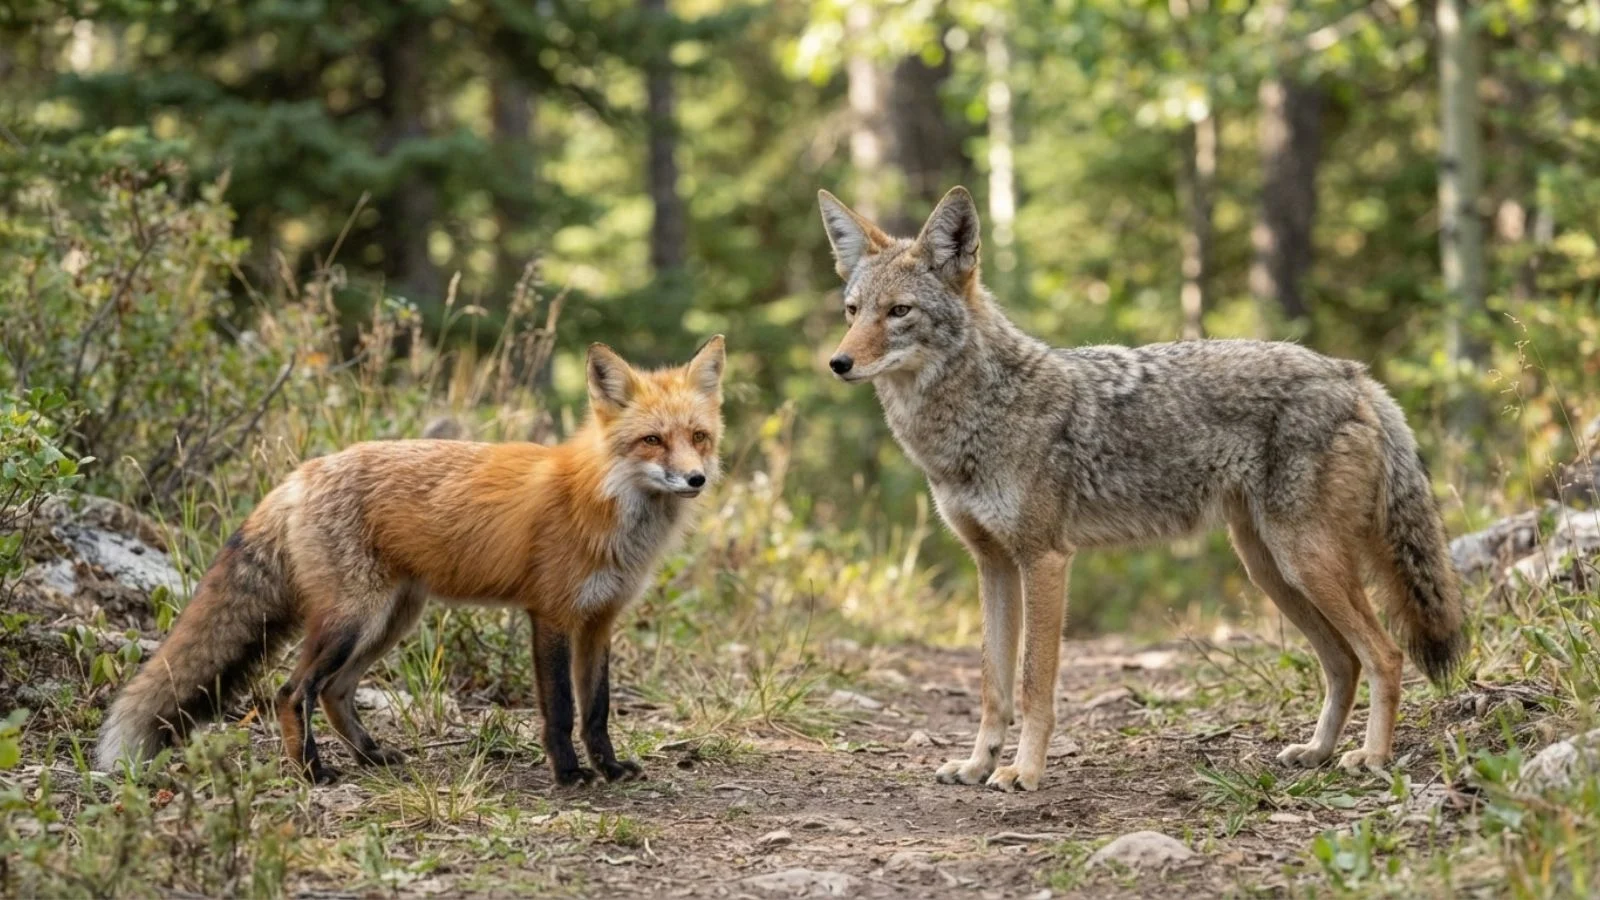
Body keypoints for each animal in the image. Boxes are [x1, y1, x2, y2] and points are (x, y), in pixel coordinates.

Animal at [97, 337, 727, 785]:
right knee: (292, 691)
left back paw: (372, 757)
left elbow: (597, 709)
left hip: (391, 620)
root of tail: (302, 473)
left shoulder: (598, 621)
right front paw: (570, 775)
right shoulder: (549, 615)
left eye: (699, 437)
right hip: (353, 619)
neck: (605, 504)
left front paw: (610, 768)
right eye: (651, 440)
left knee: (334, 692)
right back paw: (313, 772)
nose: (695, 479)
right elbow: (561, 710)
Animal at [817, 186, 1466, 792]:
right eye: (852, 310)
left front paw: (1022, 772)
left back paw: (1372, 758)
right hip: (1272, 570)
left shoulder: (1044, 561)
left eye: (899, 312)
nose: (838, 363)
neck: (972, 419)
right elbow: (991, 685)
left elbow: (1032, 685)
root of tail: (1350, 372)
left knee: (1384, 655)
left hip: (1305, 562)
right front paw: (978, 766)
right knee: (1343, 663)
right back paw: (1317, 753)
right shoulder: (993, 565)